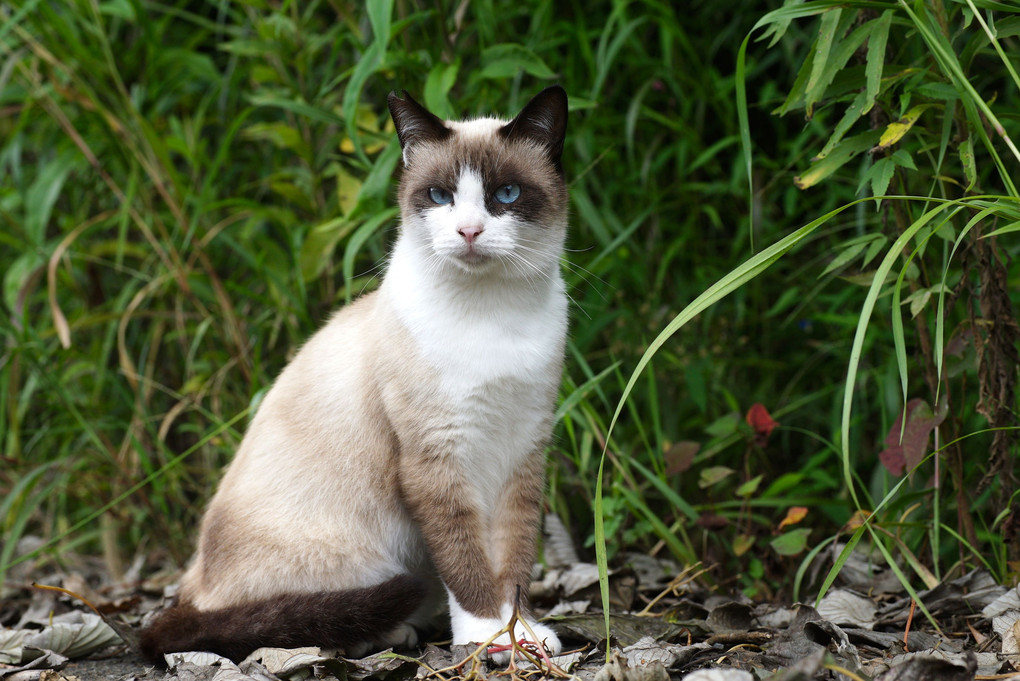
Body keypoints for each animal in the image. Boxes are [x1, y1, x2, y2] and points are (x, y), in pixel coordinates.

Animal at [141, 86, 575, 664]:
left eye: (506, 193)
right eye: (440, 196)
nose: (468, 231)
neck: (492, 317)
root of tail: (194, 581)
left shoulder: (522, 452)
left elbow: (515, 561)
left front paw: (522, 634)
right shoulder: (436, 459)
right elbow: (466, 563)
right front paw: (488, 638)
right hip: (356, 557)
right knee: (285, 620)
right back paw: (390, 633)